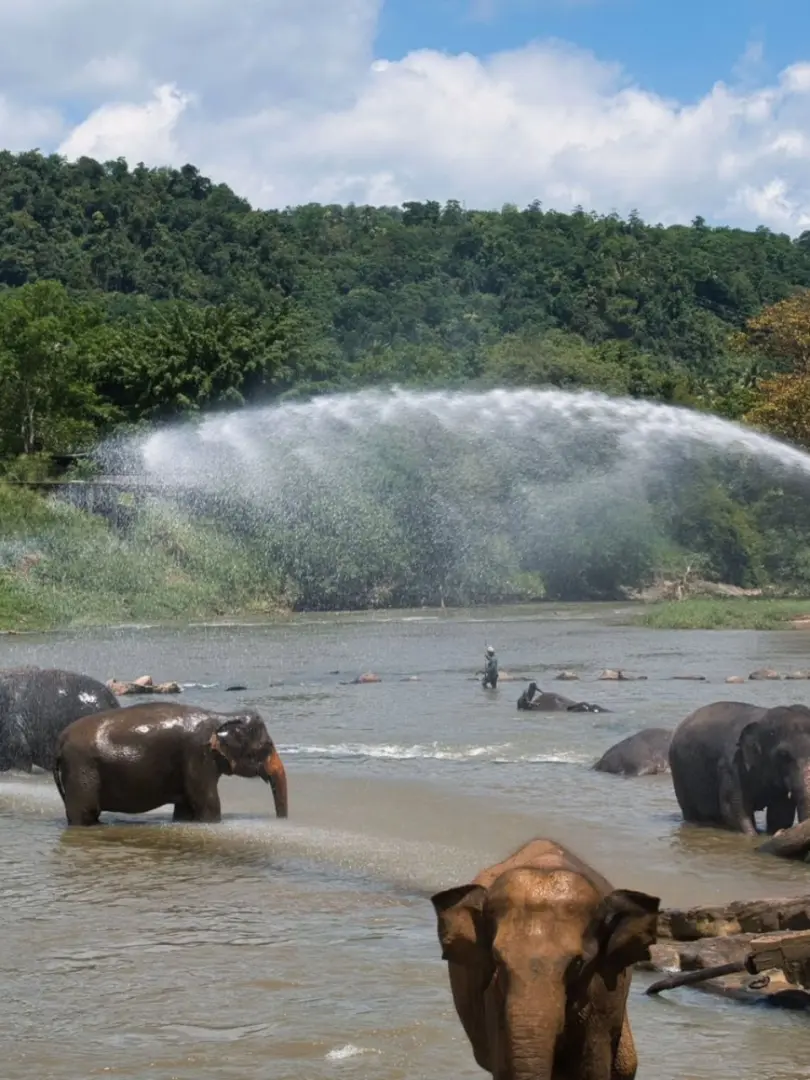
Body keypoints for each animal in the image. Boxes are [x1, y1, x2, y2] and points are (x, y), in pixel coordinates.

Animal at [52, 702, 288, 826]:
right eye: (267, 746)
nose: (280, 822)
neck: (222, 716)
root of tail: (60, 739)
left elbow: (185, 808)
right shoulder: (197, 755)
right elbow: (208, 805)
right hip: (82, 767)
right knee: (85, 812)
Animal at [668, 700, 810, 834]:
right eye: (783, 754)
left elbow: (781, 813)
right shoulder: (731, 765)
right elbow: (734, 808)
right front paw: (753, 835)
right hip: (679, 773)